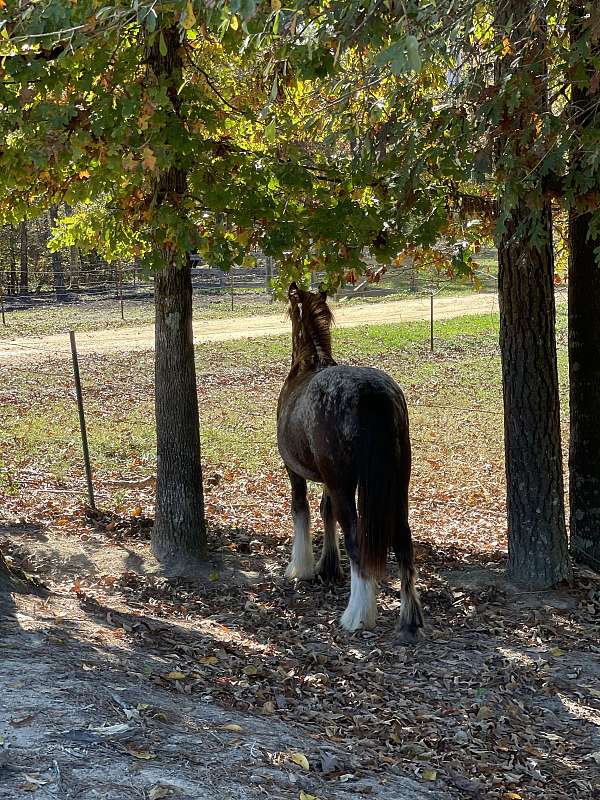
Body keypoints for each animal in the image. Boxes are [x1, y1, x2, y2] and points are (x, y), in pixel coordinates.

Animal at [274, 282, 424, 644]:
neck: (307, 366)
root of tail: (375, 394)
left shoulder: (297, 472)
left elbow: (301, 511)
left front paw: (302, 567)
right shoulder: (329, 480)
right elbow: (325, 511)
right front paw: (328, 567)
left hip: (345, 484)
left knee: (357, 541)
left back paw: (357, 614)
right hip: (397, 483)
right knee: (404, 542)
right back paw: (409, 620)